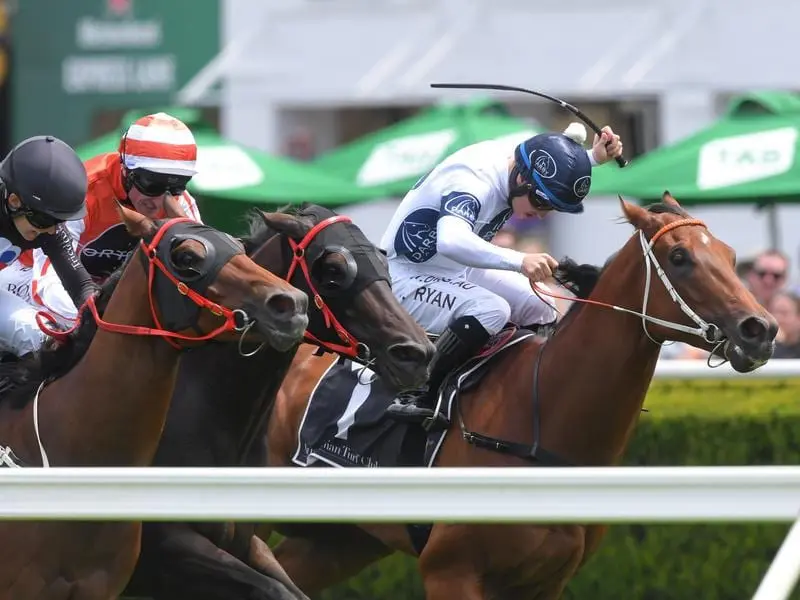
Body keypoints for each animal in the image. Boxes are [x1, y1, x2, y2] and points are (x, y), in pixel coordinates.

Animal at [124, 204, 434, 600]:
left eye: (383, 262)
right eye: (334, 269)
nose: (417, 353)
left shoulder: (245, 542)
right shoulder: (162, 548)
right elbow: (275, 589)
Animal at [260, 193, 780, 600]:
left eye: (731, 255)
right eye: (679, 257)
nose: (762, 329)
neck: (541, 422)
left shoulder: (545, 581)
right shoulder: (451, 572)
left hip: (339, 541)